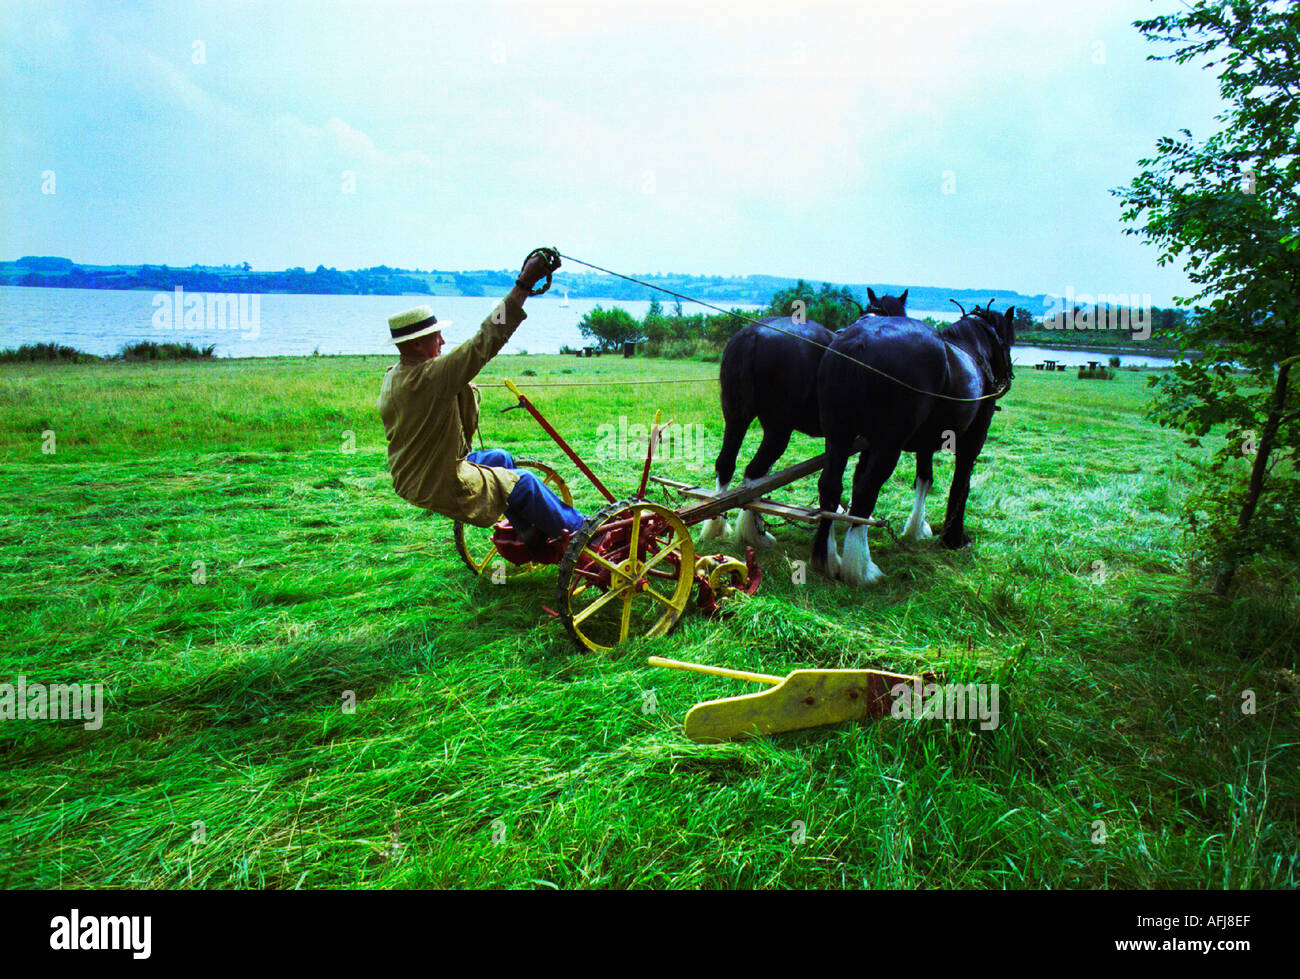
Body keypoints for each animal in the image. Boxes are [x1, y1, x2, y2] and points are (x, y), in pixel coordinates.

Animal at [702, 289, 909, 545]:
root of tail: (754, 336)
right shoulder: (870, 440)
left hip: (735, 418)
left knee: (726, 464)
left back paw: (717, 526)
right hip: (778, 430)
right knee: (754, 473)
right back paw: (756, 534)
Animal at [809, 303, 1016, 586]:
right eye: (1008, 339)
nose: (1009, 375)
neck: (973, 350)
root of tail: (858, 343)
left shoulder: (922, 444)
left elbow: (924, 479)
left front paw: (916, 528)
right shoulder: (971, 442)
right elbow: (961, 486)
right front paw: (953, 538)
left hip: (838, 435)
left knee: (830, 486)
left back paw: (827, 557)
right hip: (888, 445)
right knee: (865, 493)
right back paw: (861, 569)